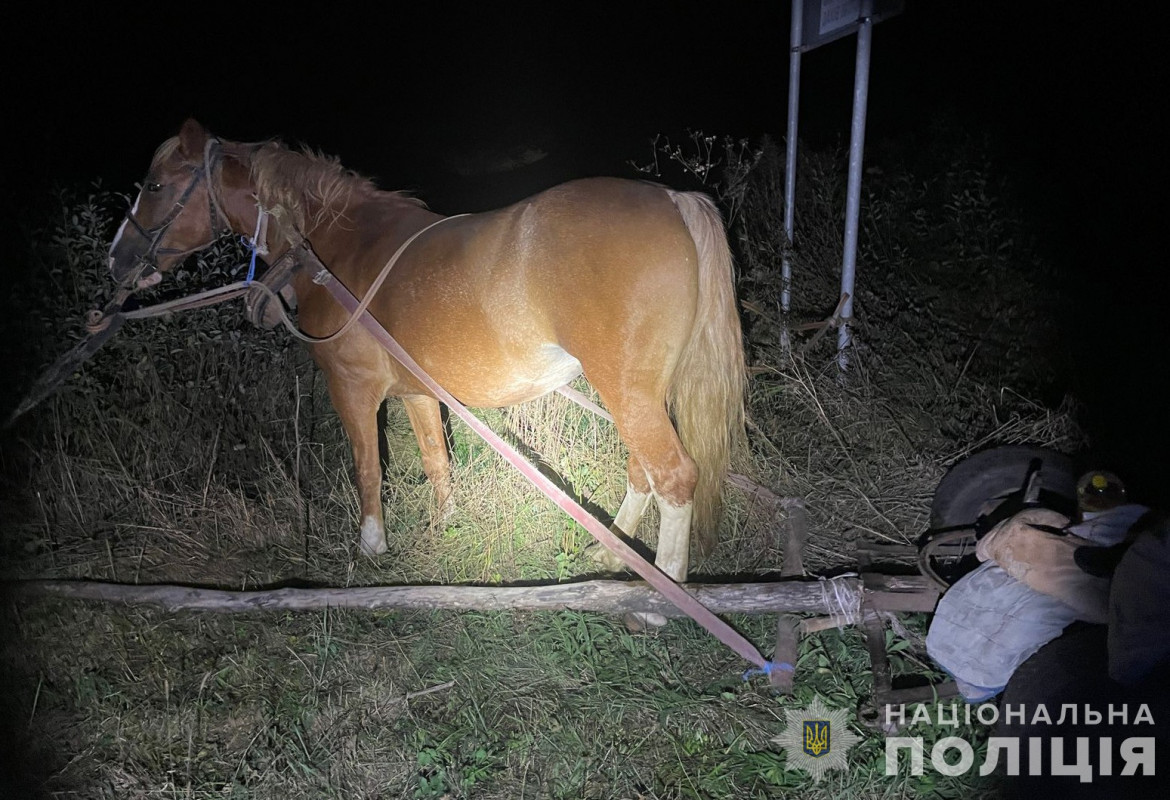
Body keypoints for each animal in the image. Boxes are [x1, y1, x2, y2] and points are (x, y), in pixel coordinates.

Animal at [111, 116, 748, 580]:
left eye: (155, 186)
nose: (117, 261)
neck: (335, 250)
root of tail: (675, 200)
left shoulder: (352, 389)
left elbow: (368, 468)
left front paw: (371, 545)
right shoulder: (418, 393)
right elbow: (436, 461)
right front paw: (444, 526)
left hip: (627, 392)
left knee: (673, 478)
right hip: (639, 395)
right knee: (644, 473)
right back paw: (613, 553)